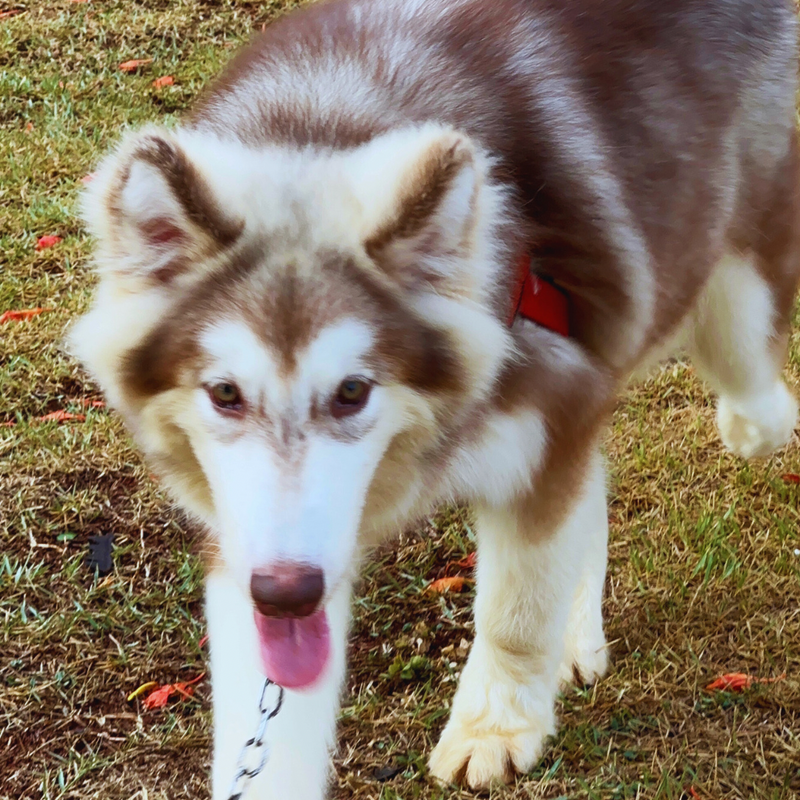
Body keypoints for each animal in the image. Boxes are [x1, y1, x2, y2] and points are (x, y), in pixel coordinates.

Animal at [70, 0, 800, 796]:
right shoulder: (251, 540)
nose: (287, 593)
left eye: (353, 391)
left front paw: (495, 727)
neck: (321, 123)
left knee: (753, 391)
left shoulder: (546, 424)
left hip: (735, 290)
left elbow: (515, 609)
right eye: (225, 393)